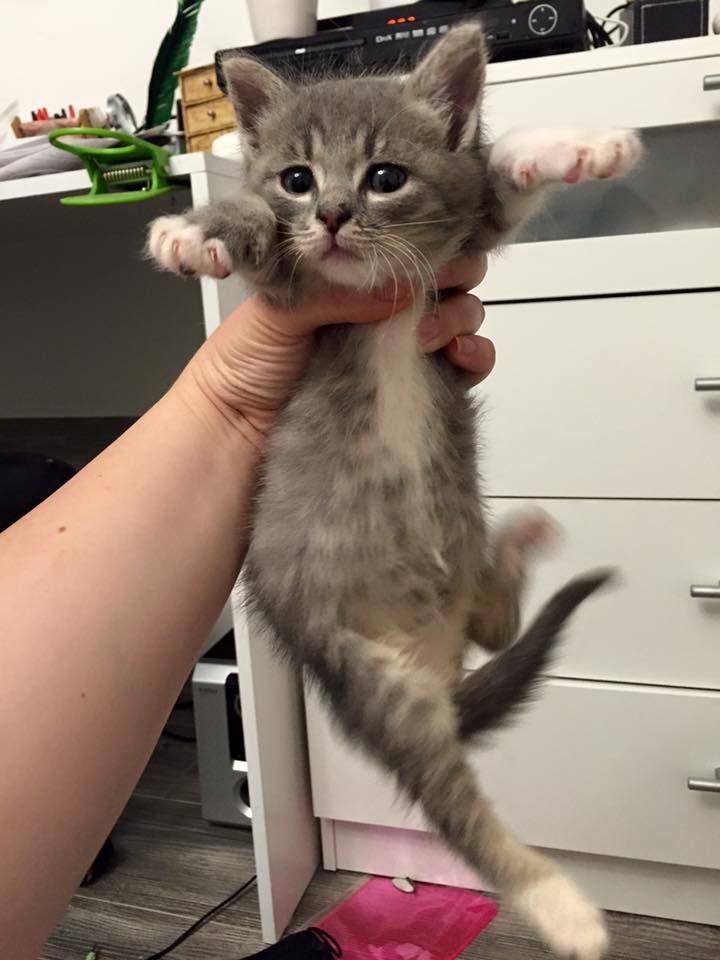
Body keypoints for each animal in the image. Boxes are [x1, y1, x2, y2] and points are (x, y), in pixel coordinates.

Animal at [148, 24, 641, 959]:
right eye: (296, 179)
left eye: (385, 177)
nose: (336, 215)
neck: (370, 297)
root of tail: (437, 665)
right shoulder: (288, 296)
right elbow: (258, 236)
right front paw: (198, 232)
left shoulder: (462, 240)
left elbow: (498, 180)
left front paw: (576, 146)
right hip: (375, 682)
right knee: (457, 807)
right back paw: (563, 907)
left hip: (457, 600)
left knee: (498, 627)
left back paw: (514, 546)